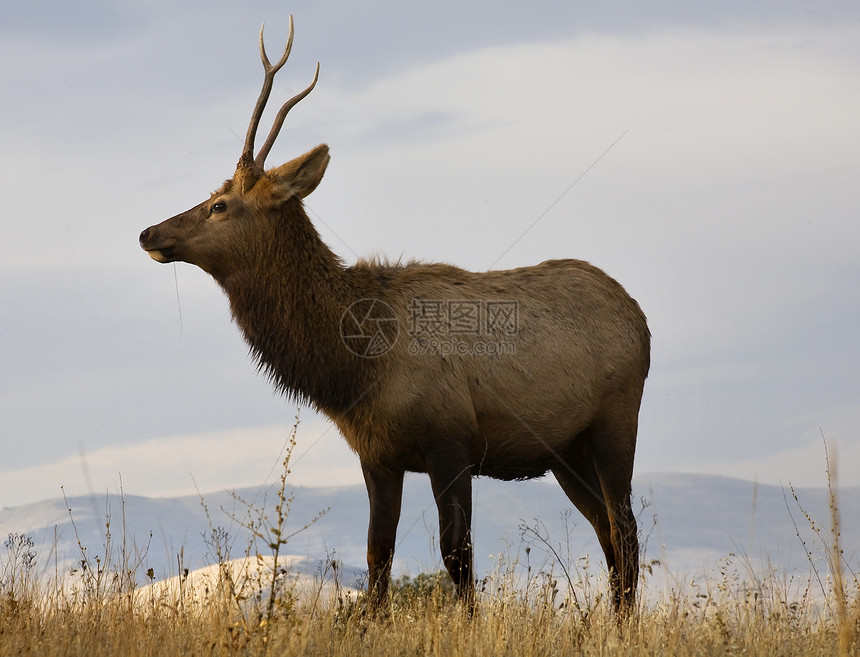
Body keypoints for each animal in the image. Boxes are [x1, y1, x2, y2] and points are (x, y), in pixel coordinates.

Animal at [139, 20, 652, 616]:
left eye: (221, 205)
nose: (148, 232)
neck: (354, 371)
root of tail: (641, 318)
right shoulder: (377, 455)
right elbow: (377, 558)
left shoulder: (452, 441)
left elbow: (457, 556)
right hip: (565, 450)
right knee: (607, 531)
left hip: (615, 421)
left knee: (625, 528)